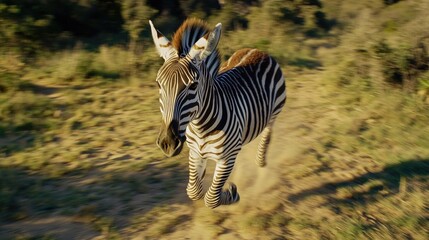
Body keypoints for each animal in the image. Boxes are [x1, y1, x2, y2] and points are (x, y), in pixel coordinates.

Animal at [149, 18, 286, 209]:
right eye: (158, 84)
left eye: (193, 86)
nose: (167, 143)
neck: (200, 127)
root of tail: (258, 50)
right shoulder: (195, 153)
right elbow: (194, 191)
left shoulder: (226, 159)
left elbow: (211, 198)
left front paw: (231, 193)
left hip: (276, 109)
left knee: (268, 132)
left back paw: (261, 160)